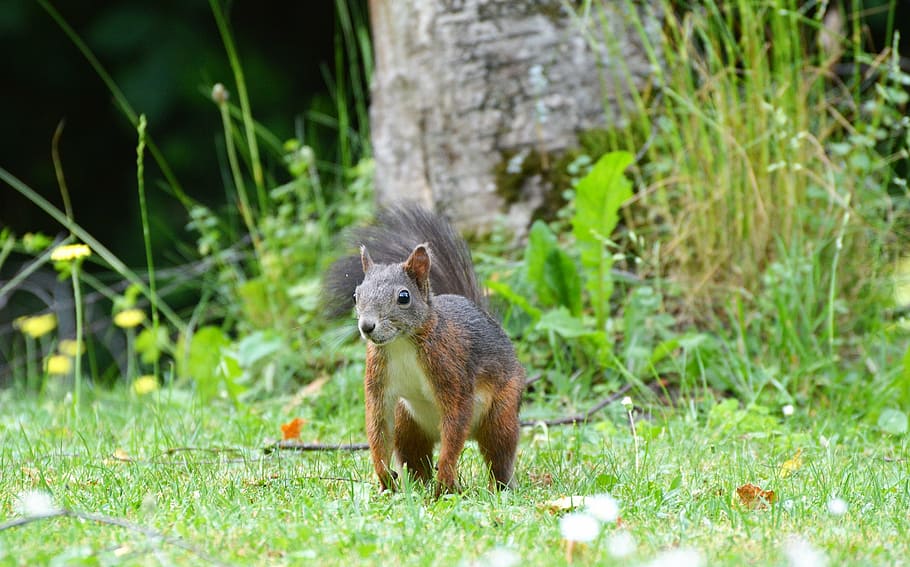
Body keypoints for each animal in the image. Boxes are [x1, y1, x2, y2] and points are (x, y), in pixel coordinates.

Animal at [324, 205, 524, 494]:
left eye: (403, 297)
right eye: (355, 295)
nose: (366, 326)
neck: (401, 343)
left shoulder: (449, 366)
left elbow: (456, 415)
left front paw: (446, 476)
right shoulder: (378, 376)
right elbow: (377, 421)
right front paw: (383, 475)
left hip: (502, 413)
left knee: (498, 452)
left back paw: (497, 486)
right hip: (407, 423)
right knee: (414, 456)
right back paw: (418, 486)